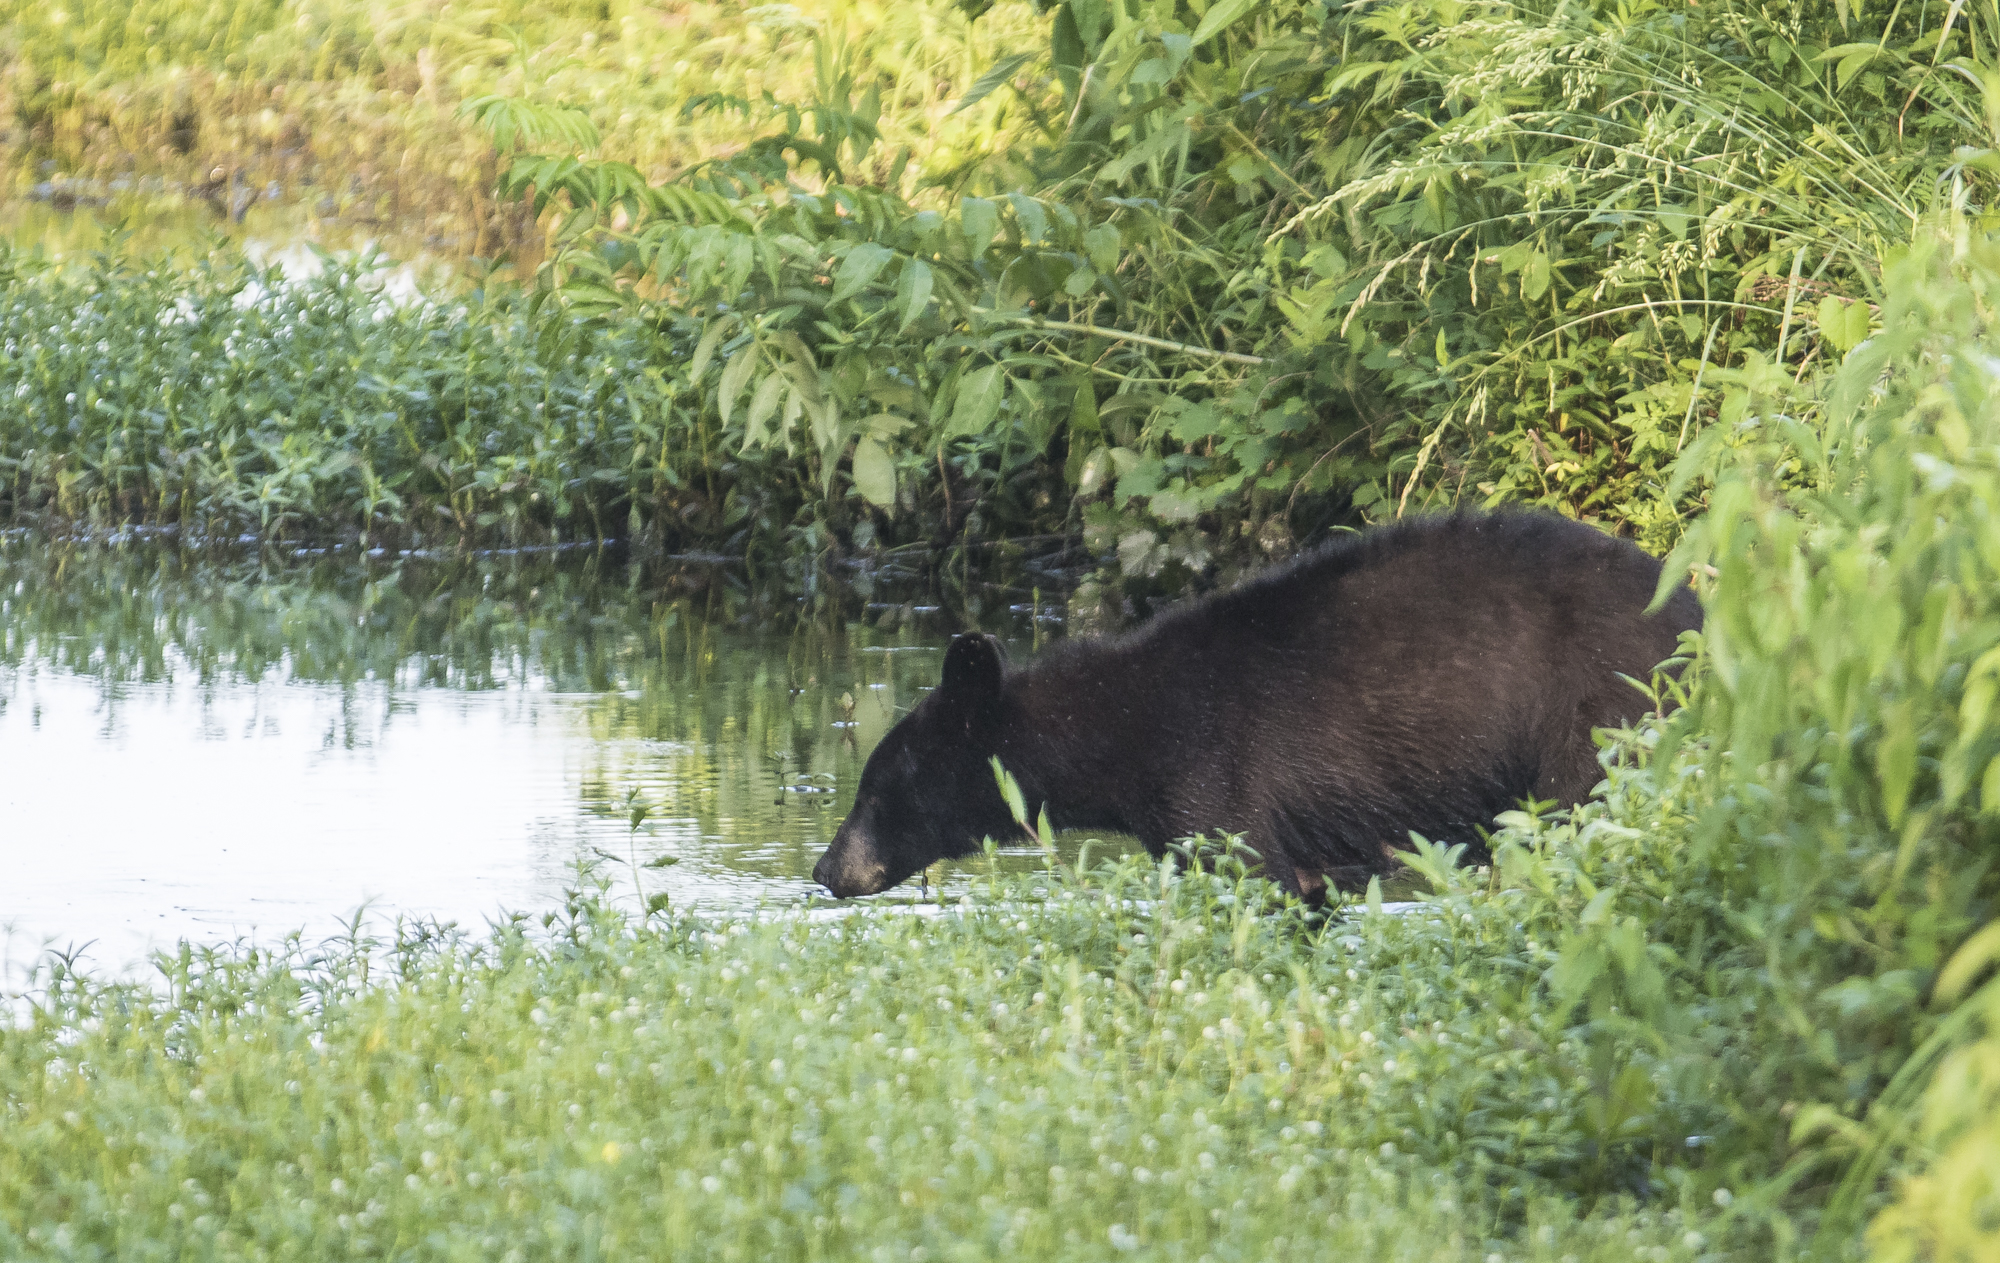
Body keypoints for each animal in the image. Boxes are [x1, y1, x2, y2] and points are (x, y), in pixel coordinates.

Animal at [811, 510, 1702, 902]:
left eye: (879, 786)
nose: (825, 868)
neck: (1117, 730)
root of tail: (1698, 607)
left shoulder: (1212, 773)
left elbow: (1238, 863)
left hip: (1596, 710)